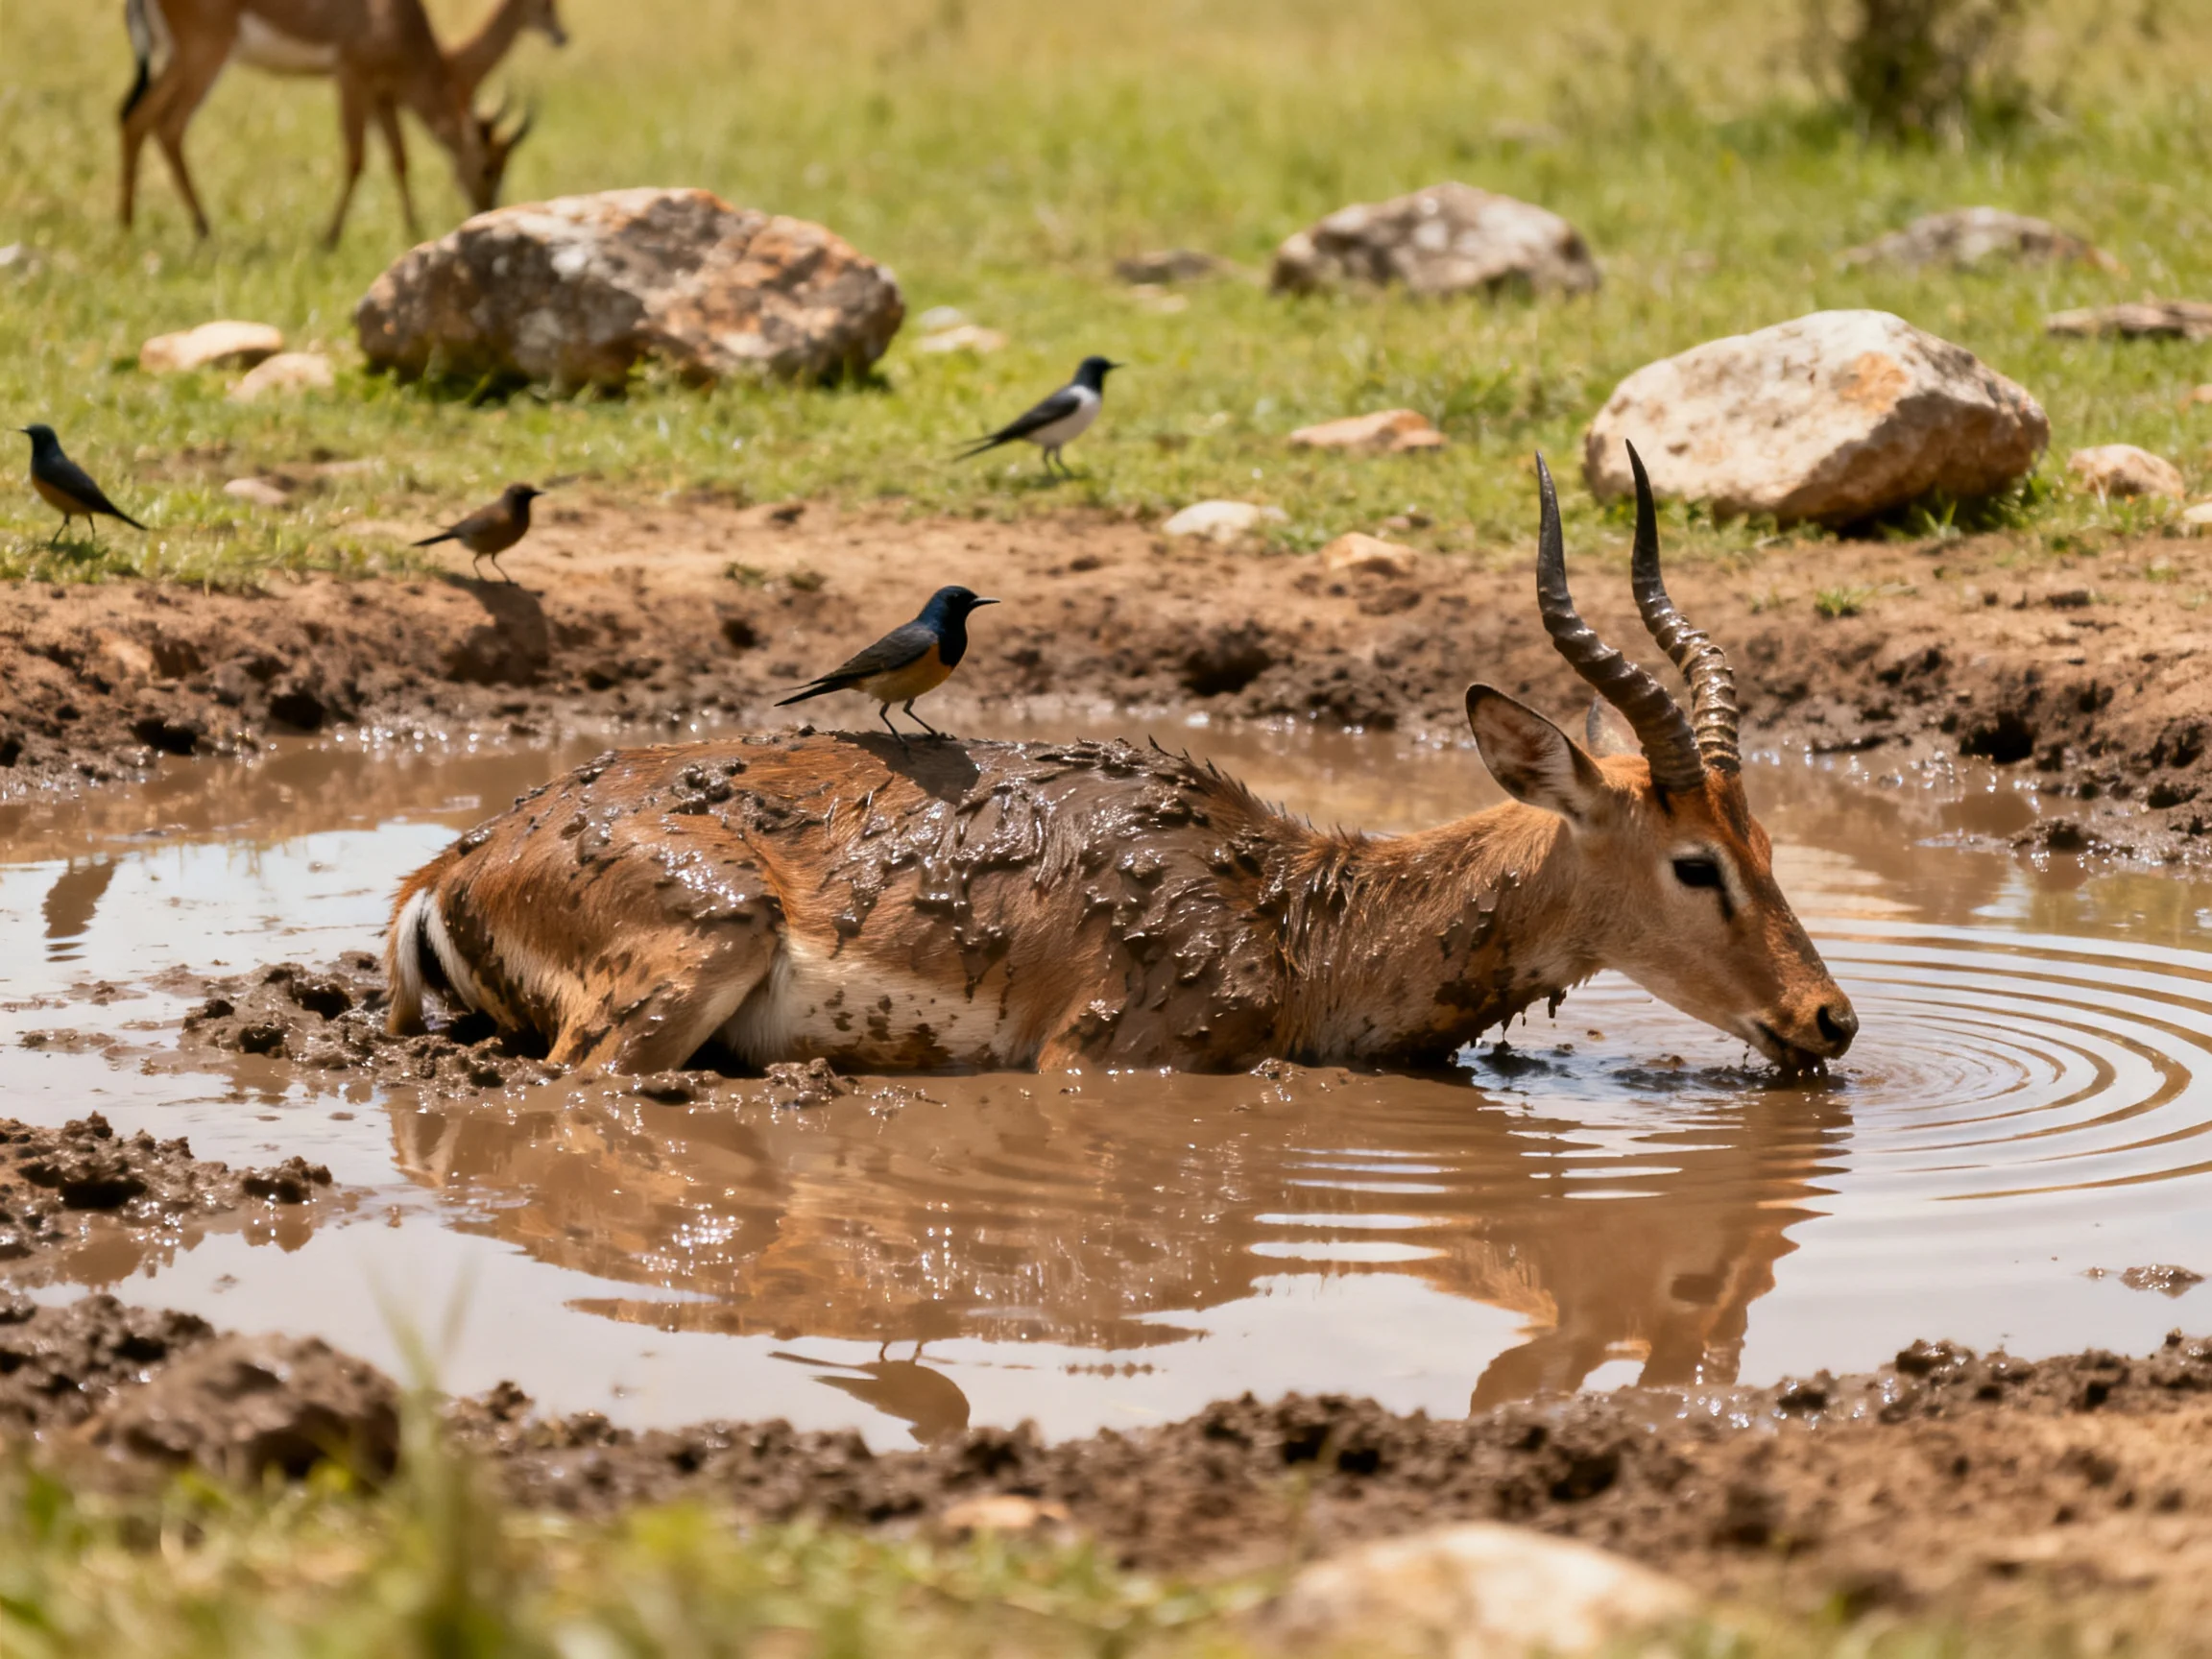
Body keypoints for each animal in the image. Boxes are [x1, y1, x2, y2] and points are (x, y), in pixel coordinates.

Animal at [118, 0, 562, 247]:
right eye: (488, 166)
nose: (486, 209)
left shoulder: (382, 95)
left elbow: (399, 159)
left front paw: (413, 230)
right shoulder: (351, 77)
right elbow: (356, 157)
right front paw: (330, 239)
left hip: (181, 59)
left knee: (136, 118)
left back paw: (138, 224)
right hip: (203, 56)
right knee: (160, 123)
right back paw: (194, 228)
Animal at [383, 448, 1859, 1077]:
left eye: (1767, 842)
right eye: (1695, 863)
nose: (1830, 1019)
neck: (1294, 916)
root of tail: (456, 860)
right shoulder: (1098, 1061)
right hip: (686, 966)